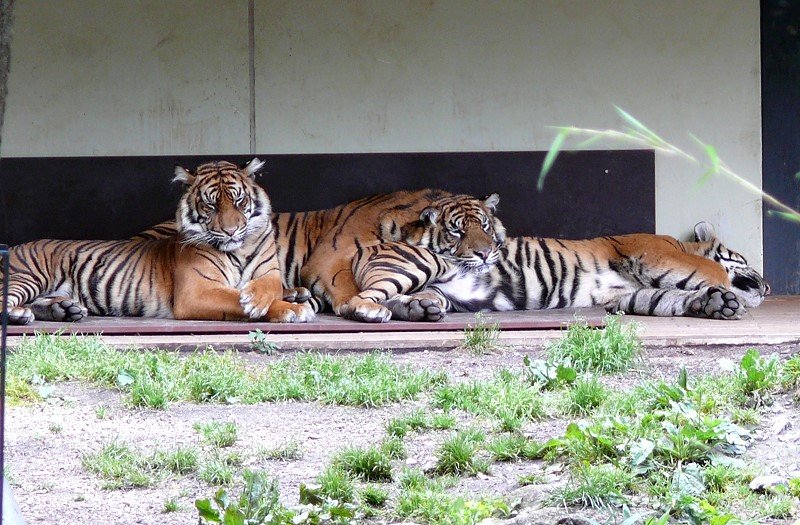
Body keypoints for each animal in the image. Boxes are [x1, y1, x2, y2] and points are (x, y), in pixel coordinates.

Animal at [3, 159, 316, 324]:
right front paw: (289, 308)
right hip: (28, 276)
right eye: (211, 205)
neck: (238, 249)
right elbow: (234, 298)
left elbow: (268, 286)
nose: (230, 231)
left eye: (238, 200)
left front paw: (283, 296)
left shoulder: (269, 271)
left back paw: (64, 310)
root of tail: (18, 245)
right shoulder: (196, 291)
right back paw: (21, 314)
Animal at [134, 188, 504, 324]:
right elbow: (350, 288)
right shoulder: (330, 259)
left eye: (485, 226)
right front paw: (364, 308)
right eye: (457, 231)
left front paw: (420, 305)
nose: (486, 253)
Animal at [354, 215, 772, 322]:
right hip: (420, 263)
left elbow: (666, 298)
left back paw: (419, 309)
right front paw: (726, 292)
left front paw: (715, 304)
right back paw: (370, 312)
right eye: (749, 261)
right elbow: (712, 272)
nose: (768, 288)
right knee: (357, 300)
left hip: (434, 288)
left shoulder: (623, 296)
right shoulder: (654, 251)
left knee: (407, 299)